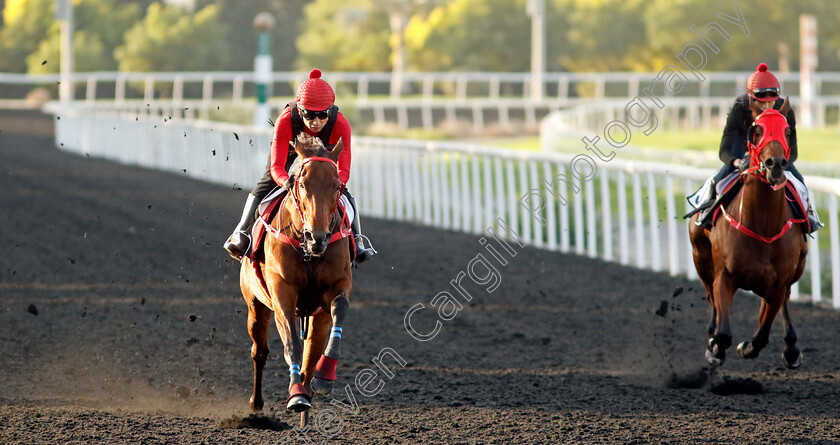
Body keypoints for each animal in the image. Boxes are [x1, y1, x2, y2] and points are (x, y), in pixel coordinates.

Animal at [240, 134, 352, 418]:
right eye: (302, 184)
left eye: (337, 186)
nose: (318, 237)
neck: (307, 250)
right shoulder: (282, 291)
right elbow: (291, 341)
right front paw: (296, 395)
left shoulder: (338, 284)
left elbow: (340, 308)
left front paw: (326, 374)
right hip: (255, 304)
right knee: (260, 351)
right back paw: (257, 402)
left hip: (317, 316)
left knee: (311, 355)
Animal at [688, 99, 808, 368]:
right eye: (757, 130)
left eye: (787, 131)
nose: (776, 164)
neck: (762, 224)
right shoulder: (724, 277)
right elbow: (723, 333)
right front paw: (715, 348)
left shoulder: (778, 285)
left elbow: (762, 334)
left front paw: (747, 347)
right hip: (701, 257)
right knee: (710, 295)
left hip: (798, 265)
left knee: (784, 301)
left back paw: (792, 348)